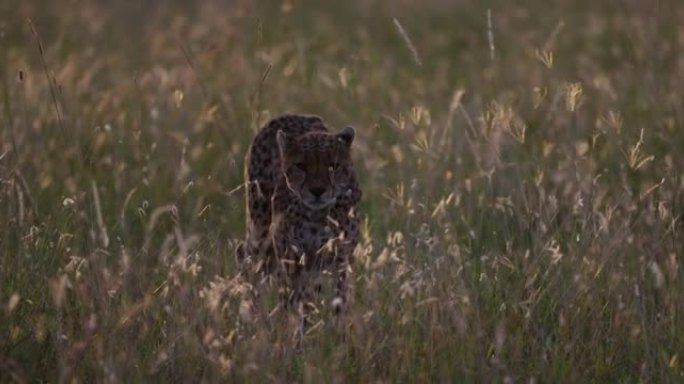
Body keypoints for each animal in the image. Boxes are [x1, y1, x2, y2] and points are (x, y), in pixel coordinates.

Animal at [236, 114, 360, 318]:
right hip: (260, 228)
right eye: (301, 166)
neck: (318, 215)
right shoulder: (292, 258)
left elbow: (338, 299)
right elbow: (298, 297)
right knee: (247, 257)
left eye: (333, 166)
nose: (317, 191)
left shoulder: (340, 259)